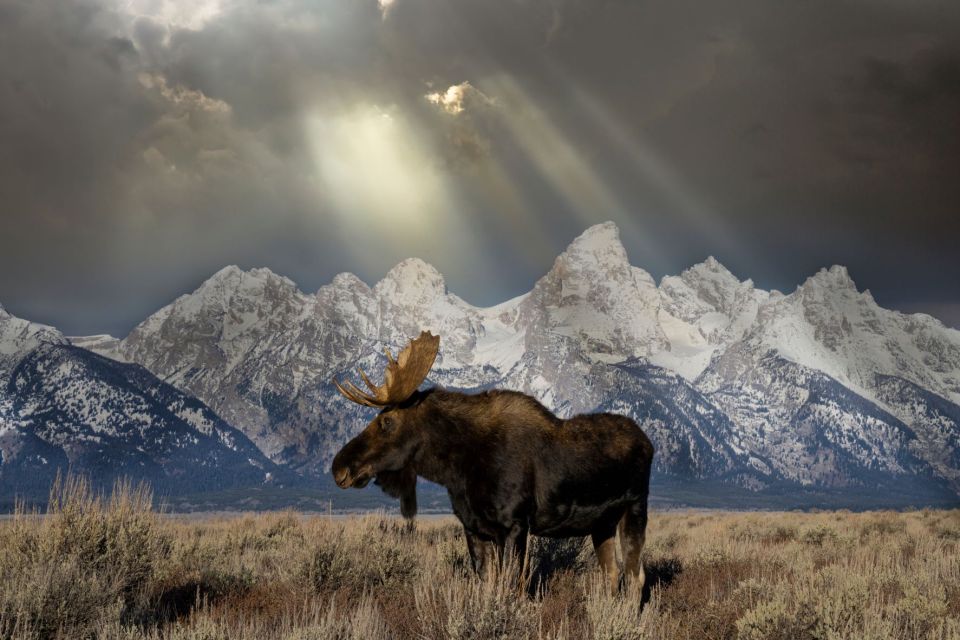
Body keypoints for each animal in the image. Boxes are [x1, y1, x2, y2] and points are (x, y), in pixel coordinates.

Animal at [330, 332, 652, 592]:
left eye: (387, 421)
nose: (338, 467)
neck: (456, 471)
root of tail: (649, 443)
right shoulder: (474, 527)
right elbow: (487, 584)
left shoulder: (514, 525)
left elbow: (511, 587)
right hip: (602, 523)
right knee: (613, 574)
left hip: (635, 508)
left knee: (636, 577)